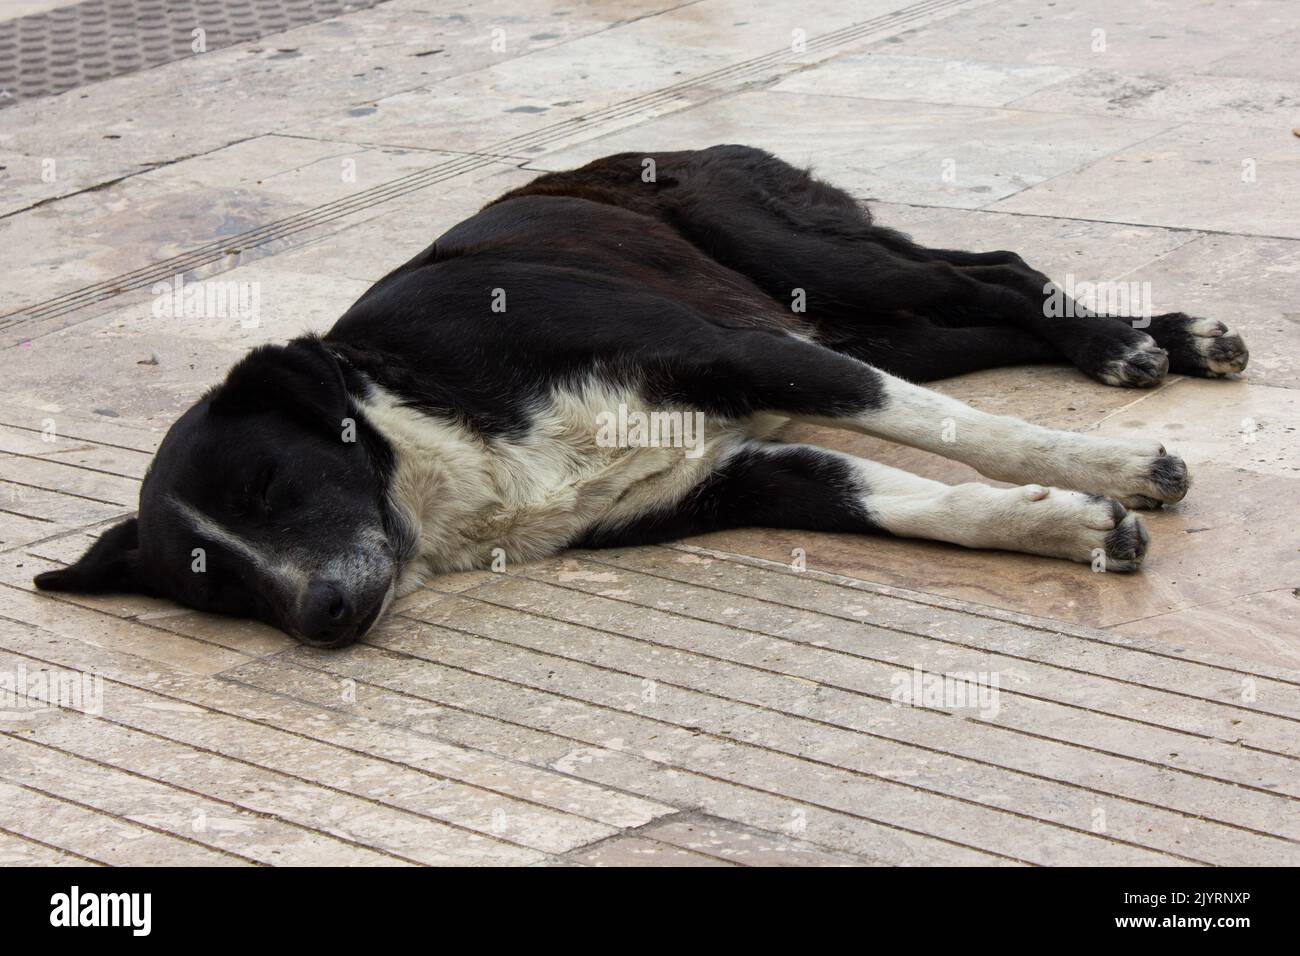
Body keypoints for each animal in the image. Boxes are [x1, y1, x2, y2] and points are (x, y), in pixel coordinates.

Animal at [32, 145, 1248, 647]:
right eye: (219, 590)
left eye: (272, 489)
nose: (321, 620)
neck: (422, 437)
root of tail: (680, 140)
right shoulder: (740, 475)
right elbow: (909, 499)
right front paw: (1064, 523)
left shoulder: (740, 354)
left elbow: (957, 434)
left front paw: (1104, 467)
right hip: (851, 314)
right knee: (978, 307)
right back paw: (1171, 336)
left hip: (799, 262)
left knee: (990, 268)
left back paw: (1128, 344)